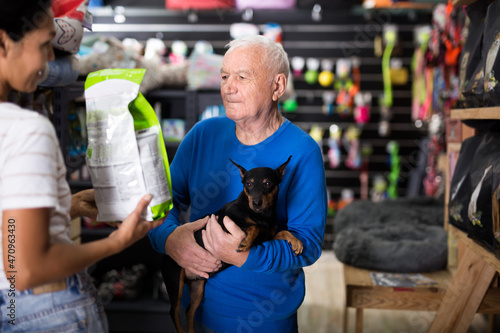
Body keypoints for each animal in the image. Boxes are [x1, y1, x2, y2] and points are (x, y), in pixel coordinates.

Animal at [161, 156, 300, 332]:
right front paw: (246, 242)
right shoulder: (223, 223)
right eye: (249, 184)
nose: (256, 203)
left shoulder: (267, 239)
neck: (261, 215)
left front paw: (296, 241)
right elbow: (252, 226)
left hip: (198, 286)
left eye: (268, 183)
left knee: (189, 311)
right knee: (174, 312)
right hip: (175, 281)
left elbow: (282, 232)